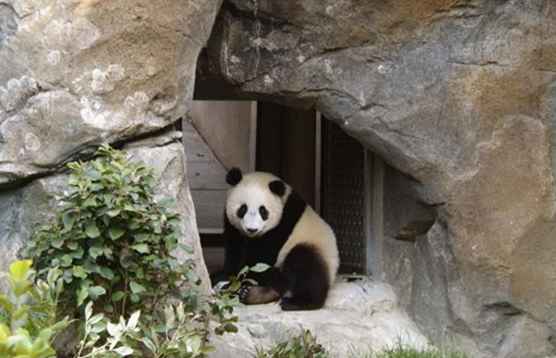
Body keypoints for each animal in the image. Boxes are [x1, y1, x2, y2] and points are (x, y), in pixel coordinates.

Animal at [215, 168, 338, 310]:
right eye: (243, 208)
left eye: (263, 211)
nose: (252, 229)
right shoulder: (233, 227)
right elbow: (234, 251)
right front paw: (226, 276)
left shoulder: (282, 224)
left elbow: (262, 257)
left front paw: (240, 280)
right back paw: (258, 294)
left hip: (314, 245)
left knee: (305, 266)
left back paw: (297, 302)